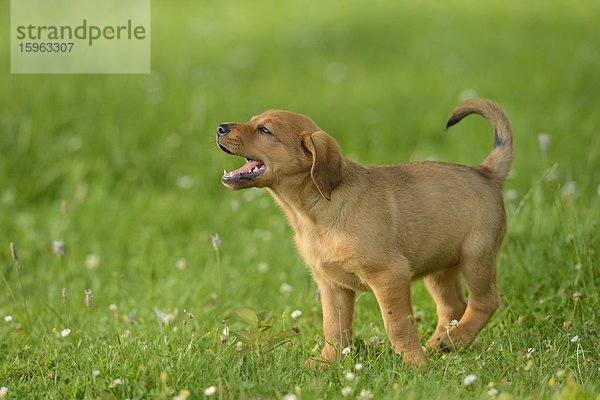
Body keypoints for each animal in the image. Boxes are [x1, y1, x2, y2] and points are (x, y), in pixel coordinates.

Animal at [216, 99, 510, 368]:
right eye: (253, 120)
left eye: (264, 129)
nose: (220, 127)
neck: (312, 215)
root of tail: (486, 173)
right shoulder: (332, 285)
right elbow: (334, 329)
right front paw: (327, 363)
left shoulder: (389, 275)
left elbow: (397, 326)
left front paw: (414, 365)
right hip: (439, 266)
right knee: (453, 306)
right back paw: (441, 343)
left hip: (476, 255)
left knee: (485, 301)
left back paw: (453, 340)